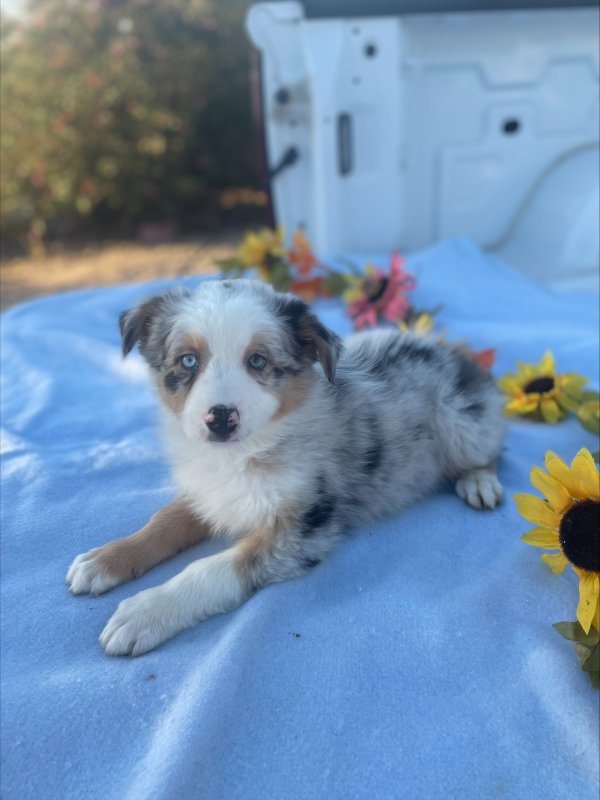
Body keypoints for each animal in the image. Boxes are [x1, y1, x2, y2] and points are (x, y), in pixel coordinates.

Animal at [67, 278, 506, 652]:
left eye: (258, 361)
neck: (241, 454)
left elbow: (210, 569)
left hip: (460, 421)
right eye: (188, 361)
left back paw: (479, 482)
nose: (220, 418)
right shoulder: (208, 493)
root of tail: (447, 349)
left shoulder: (305, 527)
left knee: (491, 448)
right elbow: (164, 521)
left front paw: (146, 611)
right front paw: (105, 559)